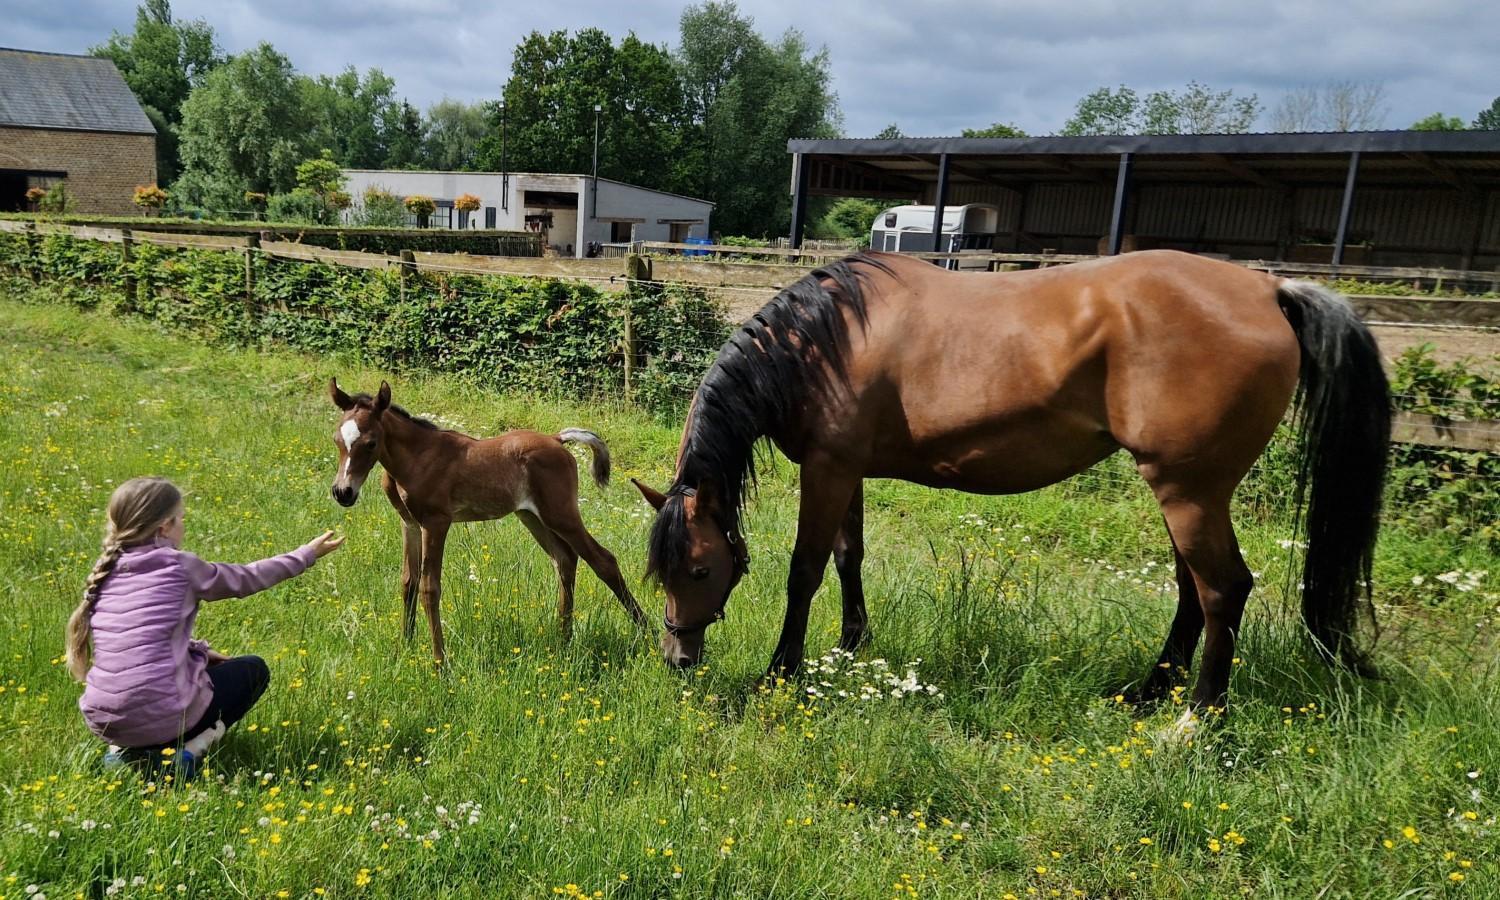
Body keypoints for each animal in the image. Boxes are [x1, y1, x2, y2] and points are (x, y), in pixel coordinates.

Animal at [328, 376, 645, 663]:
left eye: (371, 443)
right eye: (337, 440)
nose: (343, 492)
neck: (418, 457)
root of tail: (557, 439)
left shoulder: (436, 523)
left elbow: (430, 588)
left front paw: (440, 664)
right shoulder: (409, 523)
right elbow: (409, 582)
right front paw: (404, 649)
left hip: (561, 514)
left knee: (603, 560)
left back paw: (647, 634)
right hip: (532, 517)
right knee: (564, 559)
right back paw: (563, 640)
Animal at [627, 247, 1386, 711]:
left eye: (700, 569)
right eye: (659, 572)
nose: (677, 656)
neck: (824, 341)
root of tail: (1269, 288)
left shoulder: (828, 469)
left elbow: (805, 570)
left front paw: (782, 670)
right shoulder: (847, 469)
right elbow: (850, 556)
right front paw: (849, 647)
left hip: (1190, 493)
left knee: (1224, 590)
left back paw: (1195, 718)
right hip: (1188, 495)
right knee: (1191, 593)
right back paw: (1148, 693)